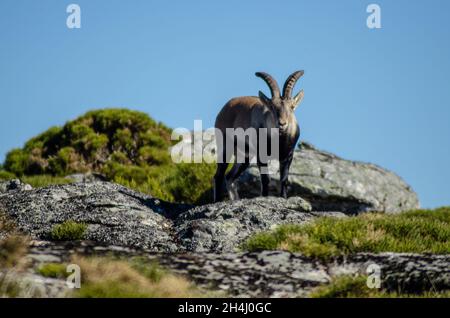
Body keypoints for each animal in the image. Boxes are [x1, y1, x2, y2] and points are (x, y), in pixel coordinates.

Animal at [213, 71, 304, 202]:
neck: (279, 141)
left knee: (230, 177)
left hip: (245, 156)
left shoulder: (287, 156)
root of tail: (224, 109)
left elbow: (284, 180)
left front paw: (283, 198)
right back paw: (217, 200)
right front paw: (265, 197)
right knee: (218, 175)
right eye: (272, 106)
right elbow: (265, 179)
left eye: (292, 107)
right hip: (226, 147)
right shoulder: (261, 155)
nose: (282, 123)